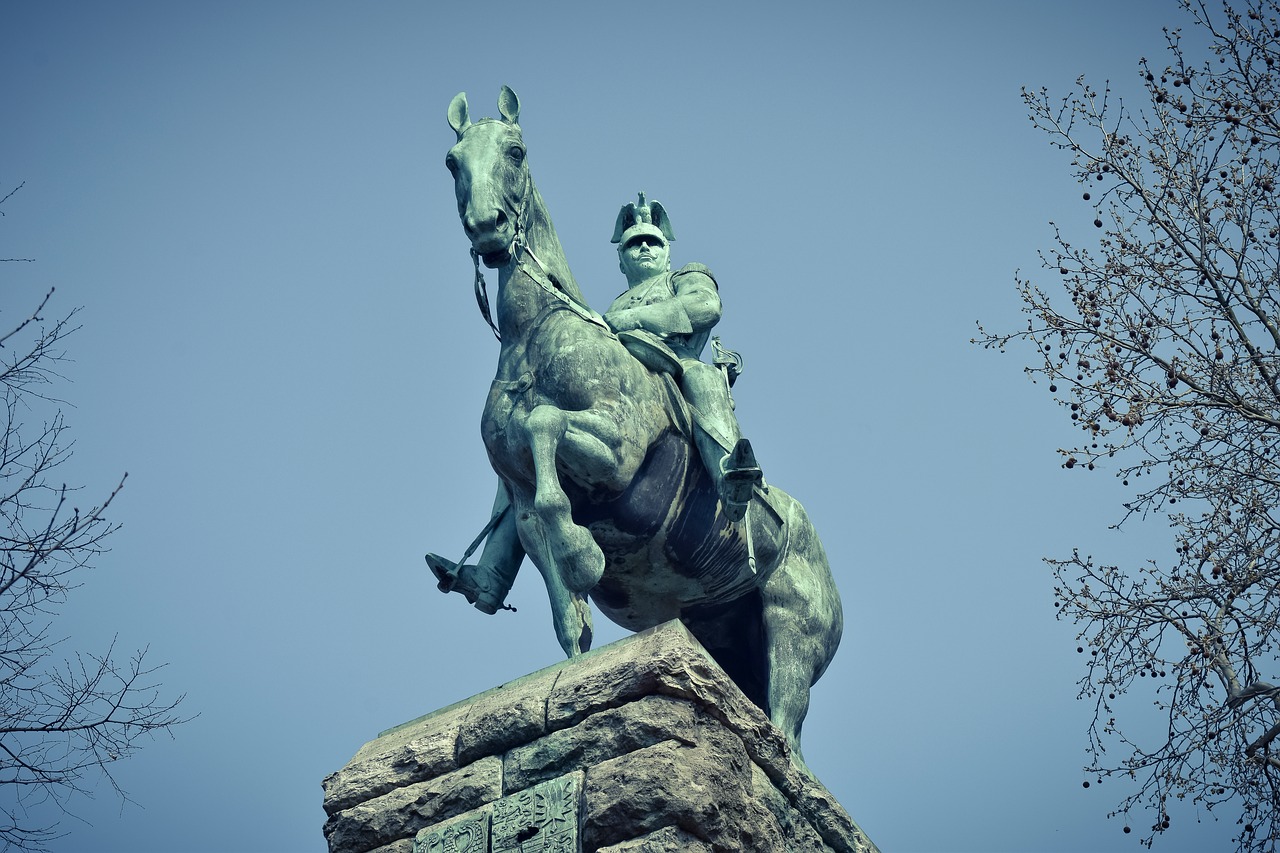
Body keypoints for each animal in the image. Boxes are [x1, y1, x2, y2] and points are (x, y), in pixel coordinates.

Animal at [435, 87, 844, 763]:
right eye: (452, 161)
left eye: (516, 150)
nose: (488, 228)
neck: (536, 337)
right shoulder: (520, 504)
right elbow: (563, 609)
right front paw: (569, 665)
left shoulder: (618, 452)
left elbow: (544, 426)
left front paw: (584, 556)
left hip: (792, 637)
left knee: (786, 732)